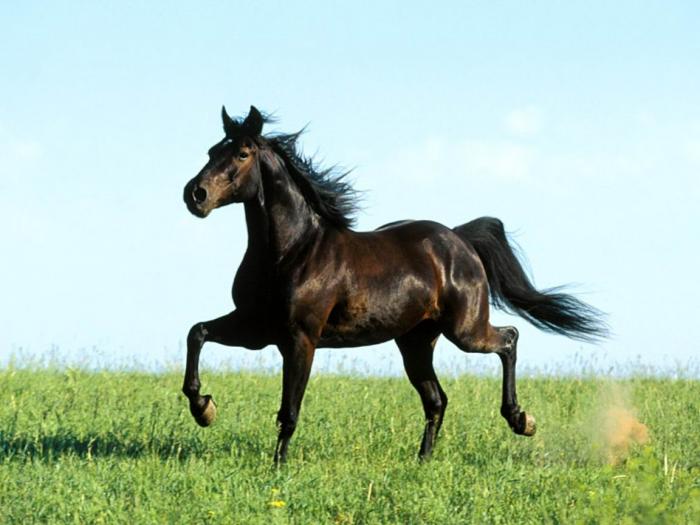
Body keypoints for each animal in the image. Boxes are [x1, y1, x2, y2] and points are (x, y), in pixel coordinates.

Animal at [182, 106, 608, 462]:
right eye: (211, 151)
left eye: (242, 154)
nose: (195, 195)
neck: (291, 252)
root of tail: (459, 239)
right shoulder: (257, 327)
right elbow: (197, 333)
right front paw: (204, 409)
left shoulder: (299, 338)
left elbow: (289, 410)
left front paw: (278, 467)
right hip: (416, 341)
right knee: (437, 400)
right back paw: (423, 460)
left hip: (465, 331)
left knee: (508, 339)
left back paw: (521, 420)